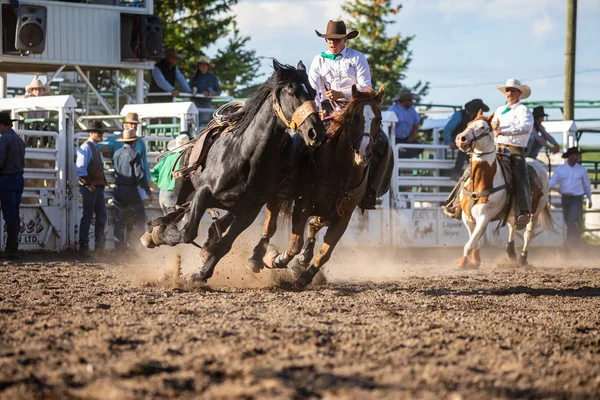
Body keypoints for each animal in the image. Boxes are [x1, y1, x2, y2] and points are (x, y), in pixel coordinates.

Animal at [139, 61, 328, 282]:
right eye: (292, 92)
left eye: (313, 92)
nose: (317, 132)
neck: (246, 156)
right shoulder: (203, 193)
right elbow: (188, 232)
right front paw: (159, 234)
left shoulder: (249, 211)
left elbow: (224, 244)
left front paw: (201, 274)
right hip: (185, 183)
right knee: (177, 210)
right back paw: (154, 231)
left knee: (210, 223)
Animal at [254, 86, 384, 290]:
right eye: (355, 117)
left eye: (379, 119)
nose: (363, 153)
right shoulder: (302, 205)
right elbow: (295, 243)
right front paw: (278, 260)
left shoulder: (344, 216)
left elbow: (325, 252)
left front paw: (305, 277)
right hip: (277, 195)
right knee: (270, 223)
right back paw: (263, 256)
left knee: (314, 227)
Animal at [454, 111, 552, 268]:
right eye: (468, 124)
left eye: (482, 127)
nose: (460, 139)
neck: (483, 179)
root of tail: (539, 165)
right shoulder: (467, 217)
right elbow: (474, 240)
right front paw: (475, 260)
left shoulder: (484, 216)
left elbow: (470, 242)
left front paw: (462, 263)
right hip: (513, 211)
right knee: (513, 226)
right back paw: (510, 253)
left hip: (535, 212)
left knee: (528, 233)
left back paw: (522, 258)